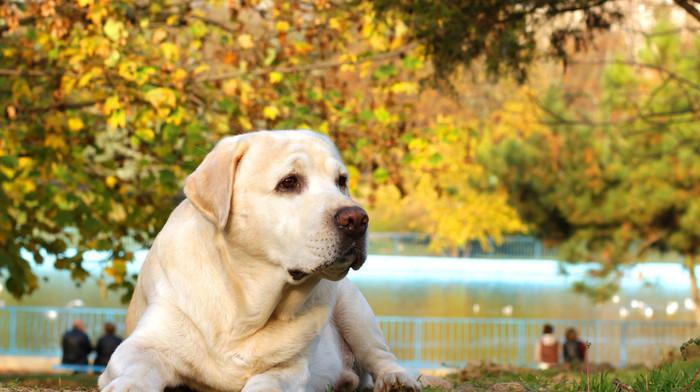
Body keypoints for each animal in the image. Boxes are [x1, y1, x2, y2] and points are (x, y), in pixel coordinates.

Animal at [98, 131, 416, 392]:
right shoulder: (141, 345)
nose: (357, 219)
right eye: (289, 182)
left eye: (341, 182)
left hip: (354, 309)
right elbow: (139, 367)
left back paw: (397, 379)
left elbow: (268, 381)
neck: (245, 308)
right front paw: (128, 385)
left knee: (380, 355)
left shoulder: (291, 367)